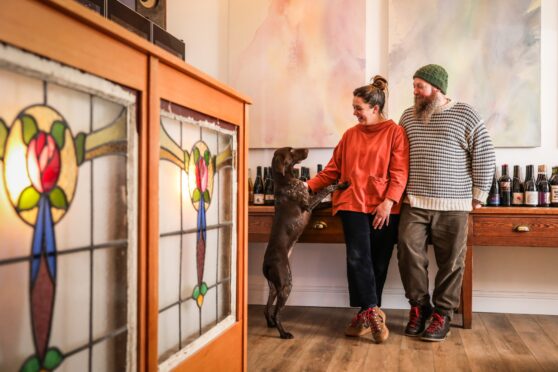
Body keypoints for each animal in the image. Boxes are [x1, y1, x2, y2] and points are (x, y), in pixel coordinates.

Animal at [264, 147, 350, 338]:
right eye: (291, 150)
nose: (307, 149)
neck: (285, 180)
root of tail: (266, 265)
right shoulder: (309, 204)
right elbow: (326, 188)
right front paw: (342, 184)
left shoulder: (313, 205)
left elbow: (324, 199)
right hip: (286, 283)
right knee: (276, 312)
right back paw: (283, 333)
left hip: (273, 287)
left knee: (266, 309)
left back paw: (270, 324)